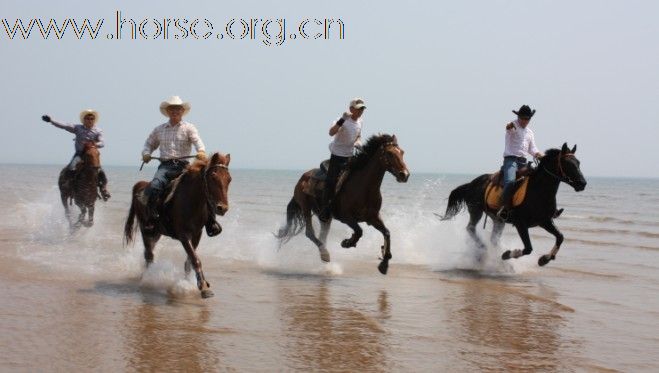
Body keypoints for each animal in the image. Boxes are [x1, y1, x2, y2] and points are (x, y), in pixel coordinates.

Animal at [124, 153, 232, 298]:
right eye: (213, 177)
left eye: (229, 179)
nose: (222, 208)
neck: (191, 201)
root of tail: (140, 185)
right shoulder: (183, 236)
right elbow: (195, 259)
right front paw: (203, 287)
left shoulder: (197, 234)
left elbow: (189, 261)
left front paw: (189, 283)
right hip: (146, 230)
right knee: (149, 255)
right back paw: (148, 277)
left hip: (156, 233)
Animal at [276, 134, 410, 274]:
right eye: (389, 153)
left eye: (402, 152)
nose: (404, 175)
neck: (364, 188)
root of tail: (303, 177)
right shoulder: (346, 217)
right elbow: (359, 231)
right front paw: (348, 242)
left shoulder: (373, 217)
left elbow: (387, 232)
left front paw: (384, 263)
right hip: (305, 207)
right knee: (310, 233)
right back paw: (325, 254)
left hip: (325, 218)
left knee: (322, 236)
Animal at [444, 141, 588, 266]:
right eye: (567, 164)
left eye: (578, 163)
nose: (582, 183)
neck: (538, 191)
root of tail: (471, 184)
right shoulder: (521, 223)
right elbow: (528, 248)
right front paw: (507, 254)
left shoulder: (544, 221)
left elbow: (560, 237)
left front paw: (545, 259)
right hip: (476, 211)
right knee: (470, 228)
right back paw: (483, 249)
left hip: (498, 219)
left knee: (493, 238)